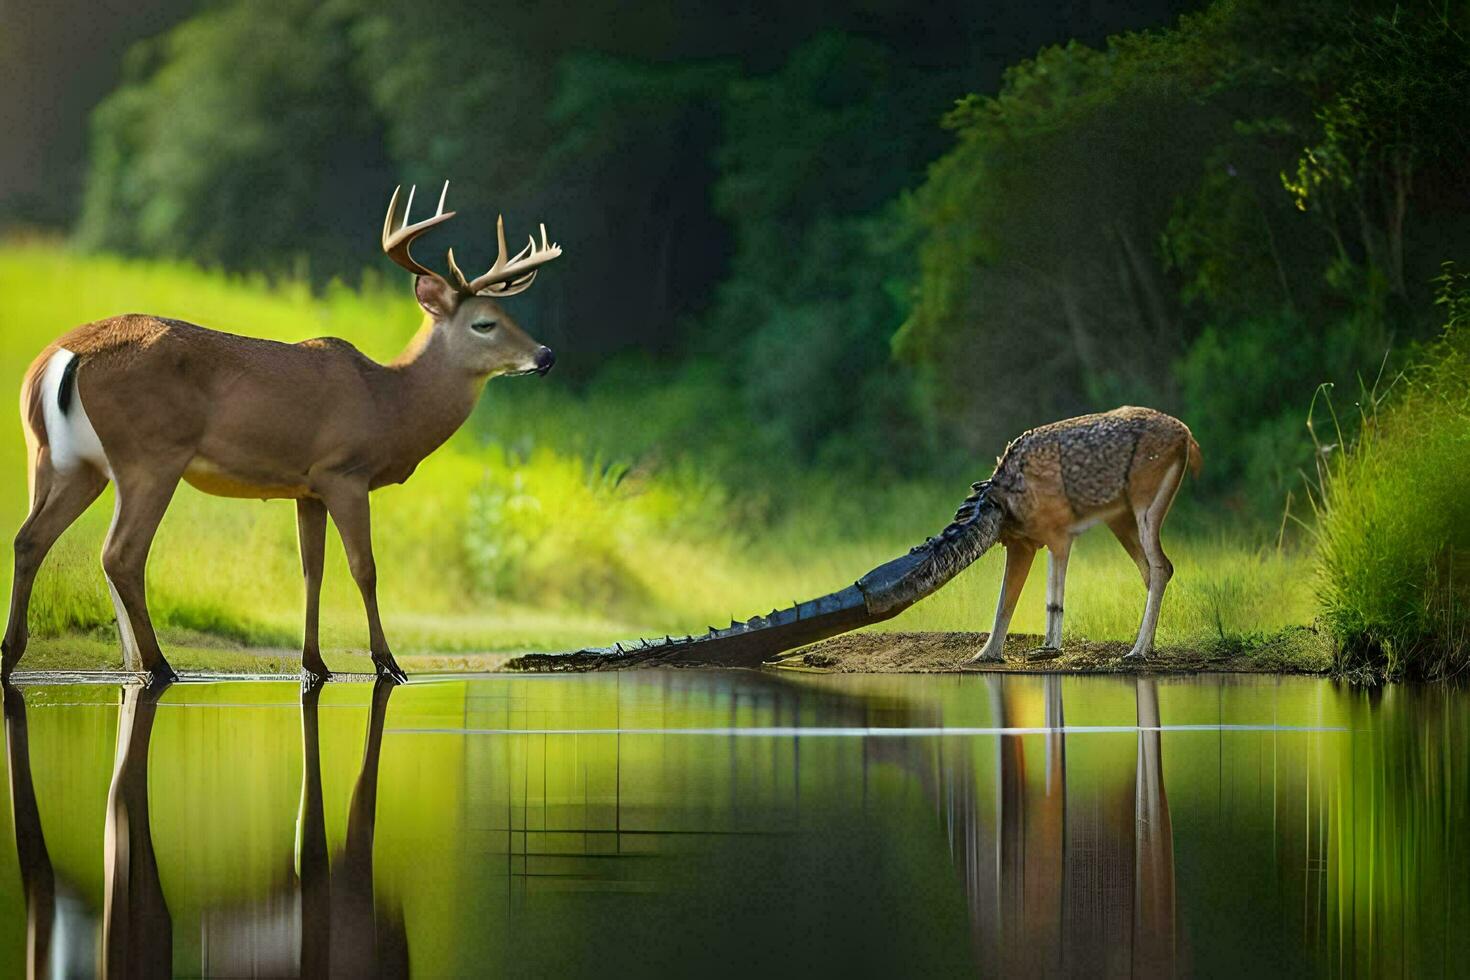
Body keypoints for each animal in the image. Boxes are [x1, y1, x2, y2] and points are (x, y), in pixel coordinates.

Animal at [2, 185, 561, 690]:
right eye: (485, 323)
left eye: (511, 315)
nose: (546, 355)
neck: (388, 401)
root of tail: (63, 354)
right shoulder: (343, 471)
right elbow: (364, 567)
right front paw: (388, 664)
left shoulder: (305, 487)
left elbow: (311, 570)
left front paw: (314, 664)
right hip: (151, 456)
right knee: (120, 553)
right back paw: (158, 667)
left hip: (62, 461)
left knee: (30, 537)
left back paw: (21, 656)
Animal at [546, 405, 1199, 667]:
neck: (996, 495)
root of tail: (1187, 435)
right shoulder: (1021, 541)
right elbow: (1004, 602)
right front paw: (986, 655)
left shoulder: (1057, 535)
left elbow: (1052, 595)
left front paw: (1049, 650)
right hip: (1122, 518)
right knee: (1153, 568)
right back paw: (1140, 649)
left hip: (1142, 505)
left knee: (1160, 566)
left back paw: (1139, 653)